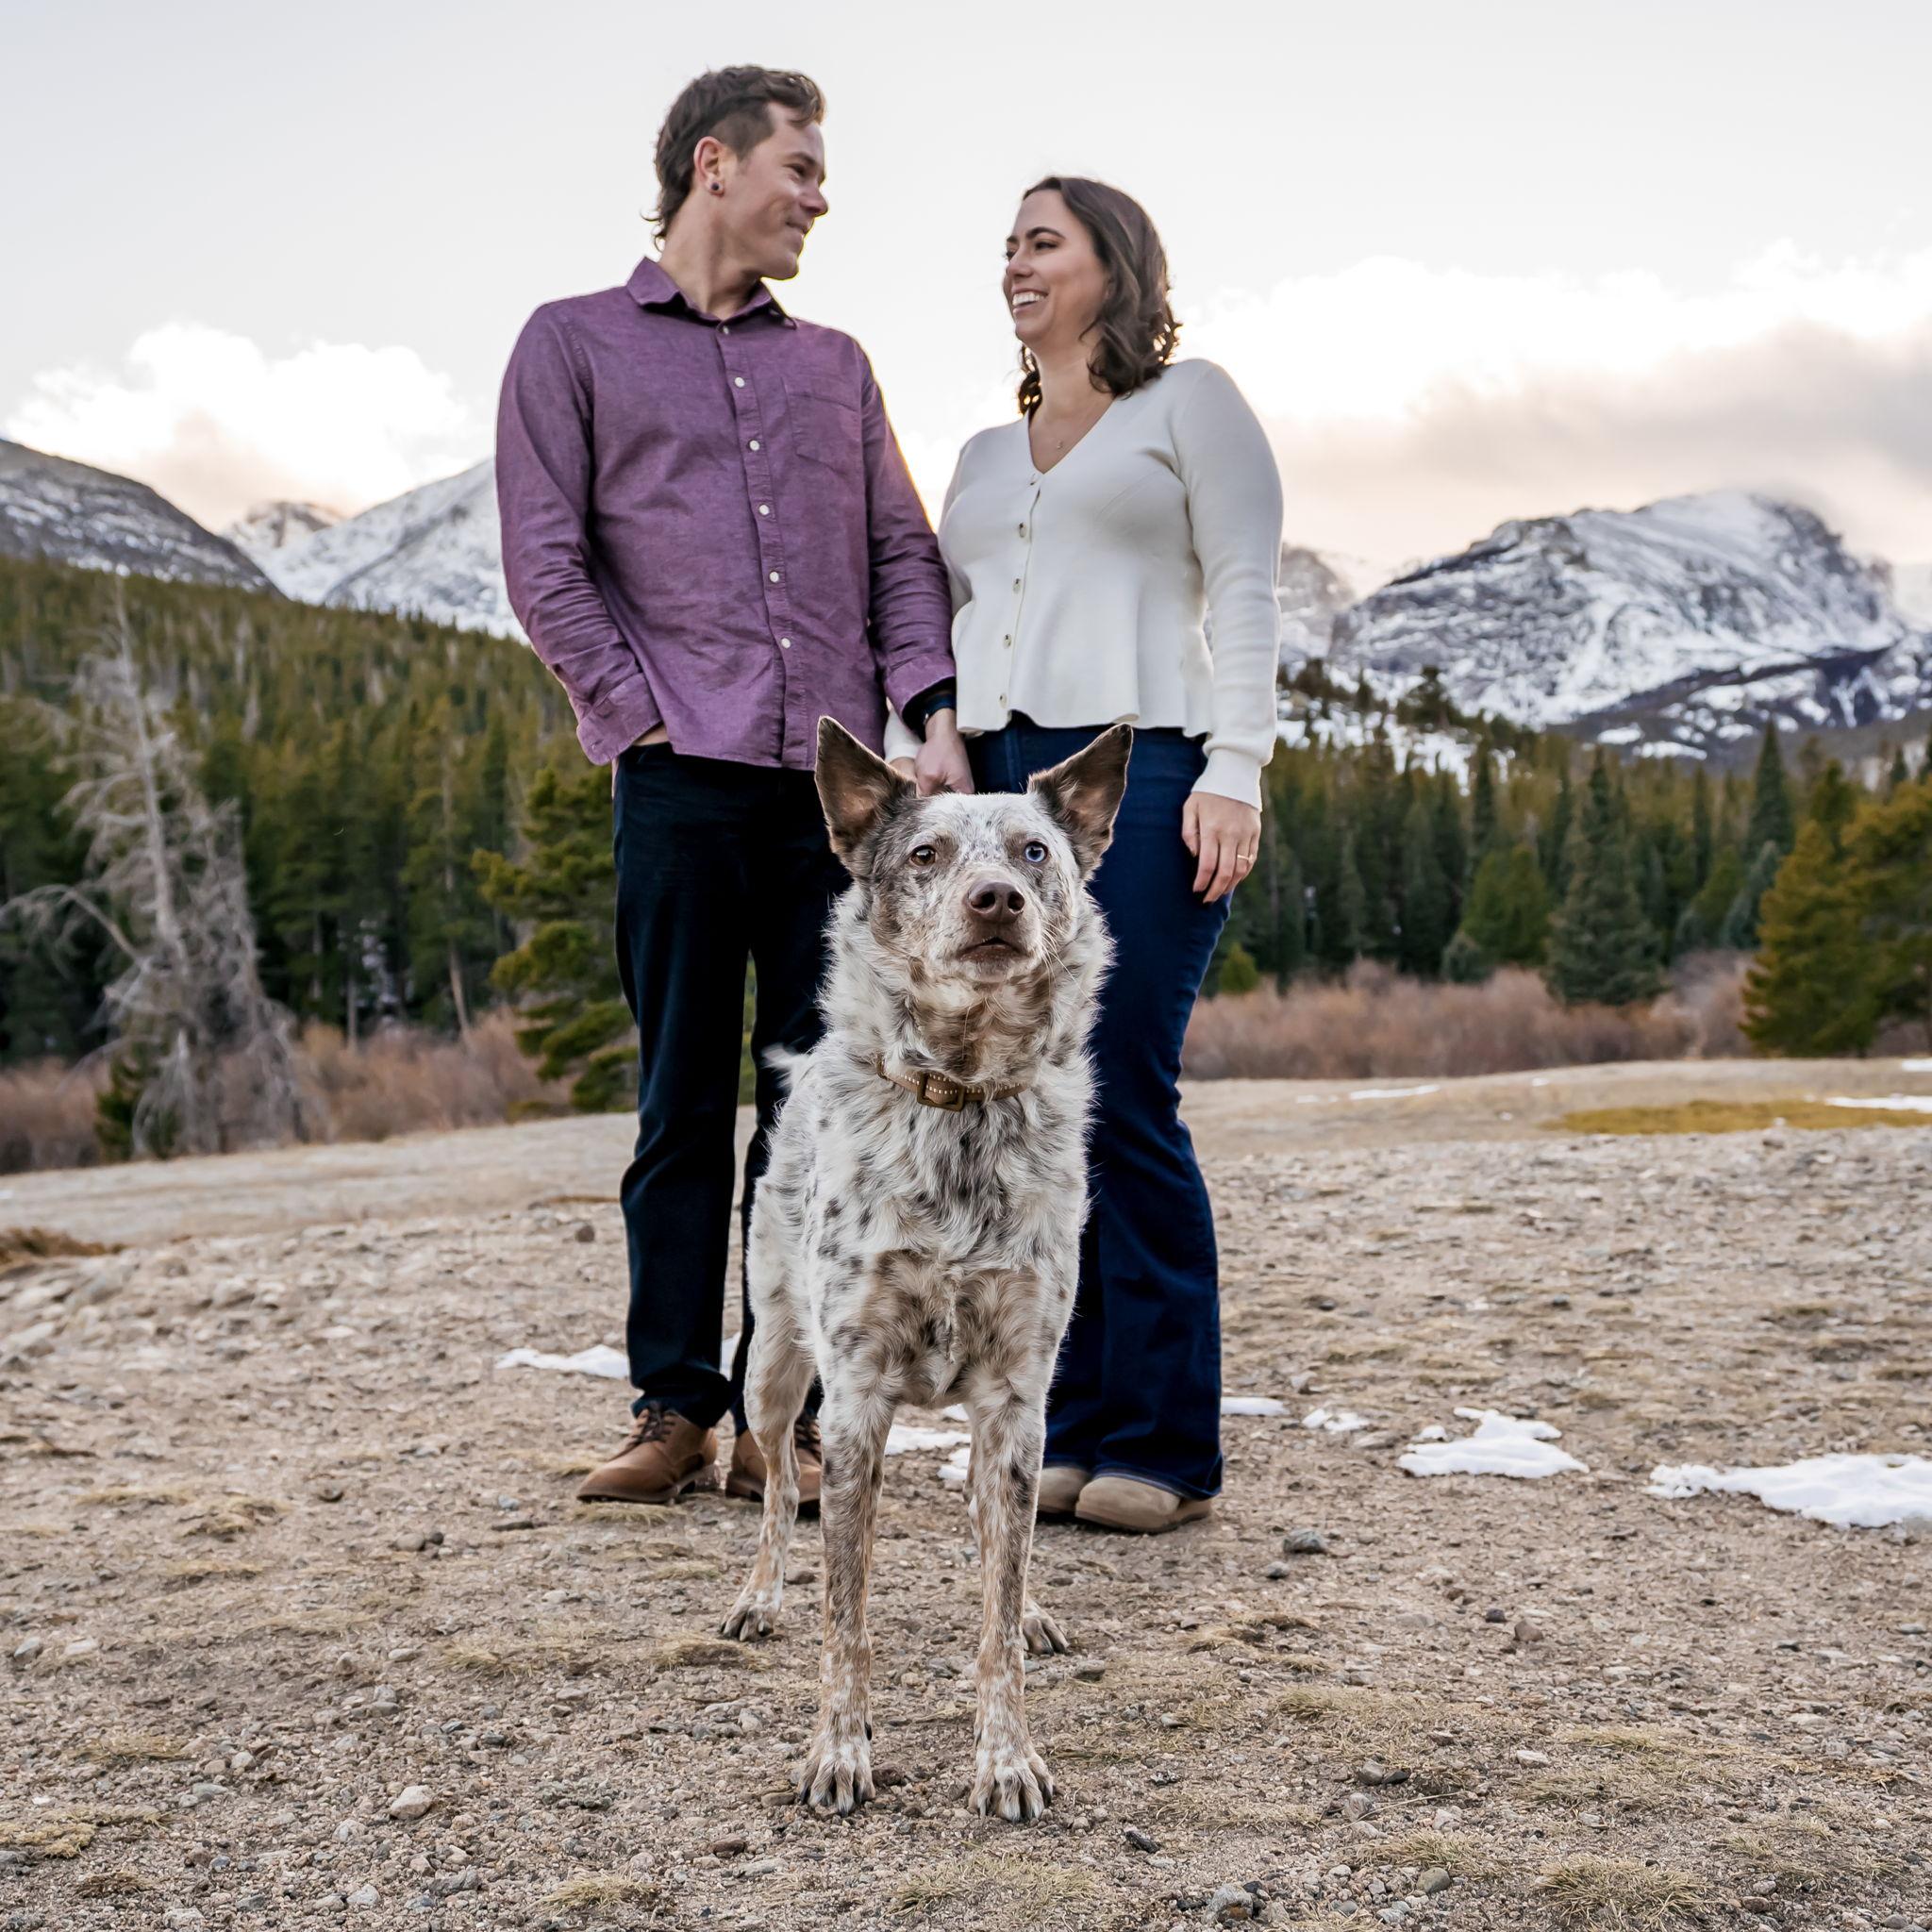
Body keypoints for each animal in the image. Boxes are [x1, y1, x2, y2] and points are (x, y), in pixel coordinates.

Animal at [719, 715, 1132, 1823]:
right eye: (923, 856)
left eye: (1033, 853)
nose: (997, 900)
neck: (962, 1096)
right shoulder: (856, 1398)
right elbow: (844, 1614)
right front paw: (838, 1750)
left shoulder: (1017, 1398)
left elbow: (995, 1607)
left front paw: (1006, 1757)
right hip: (772, 1366)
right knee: (776, 1485)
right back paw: (757, 1594)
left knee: (997, 1529)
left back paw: (1031, 1603)